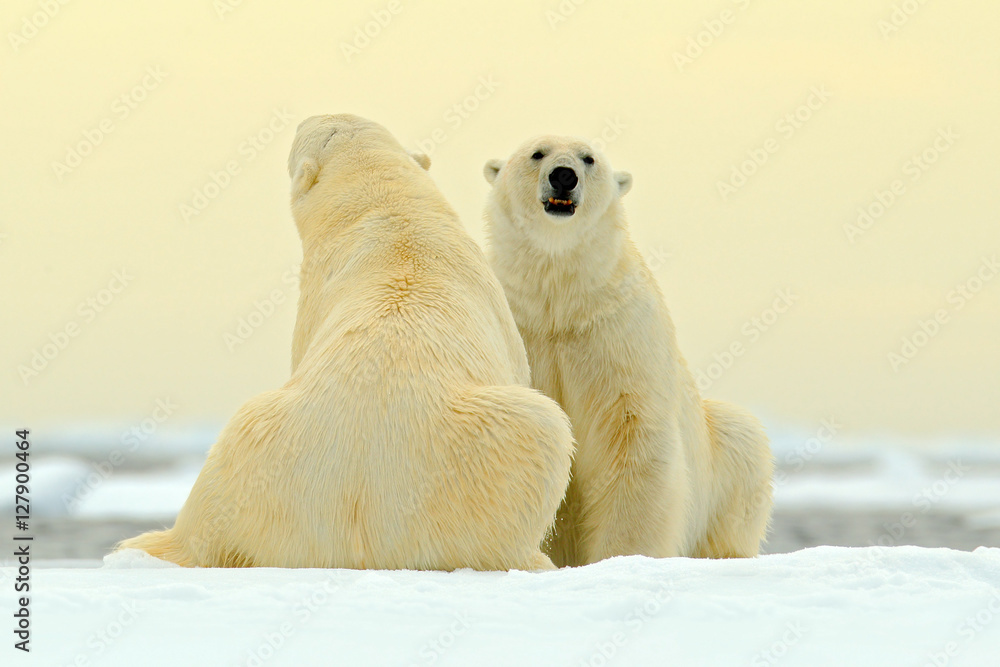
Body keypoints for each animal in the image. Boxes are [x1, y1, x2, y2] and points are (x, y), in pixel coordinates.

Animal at [482, 138, 772, 568]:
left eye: (588, 158)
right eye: (537, 153)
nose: (564, 176)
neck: (559, 302)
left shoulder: (618, 331)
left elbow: (633, 436)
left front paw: (620, 558)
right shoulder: (519, 325)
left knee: (742, 434)